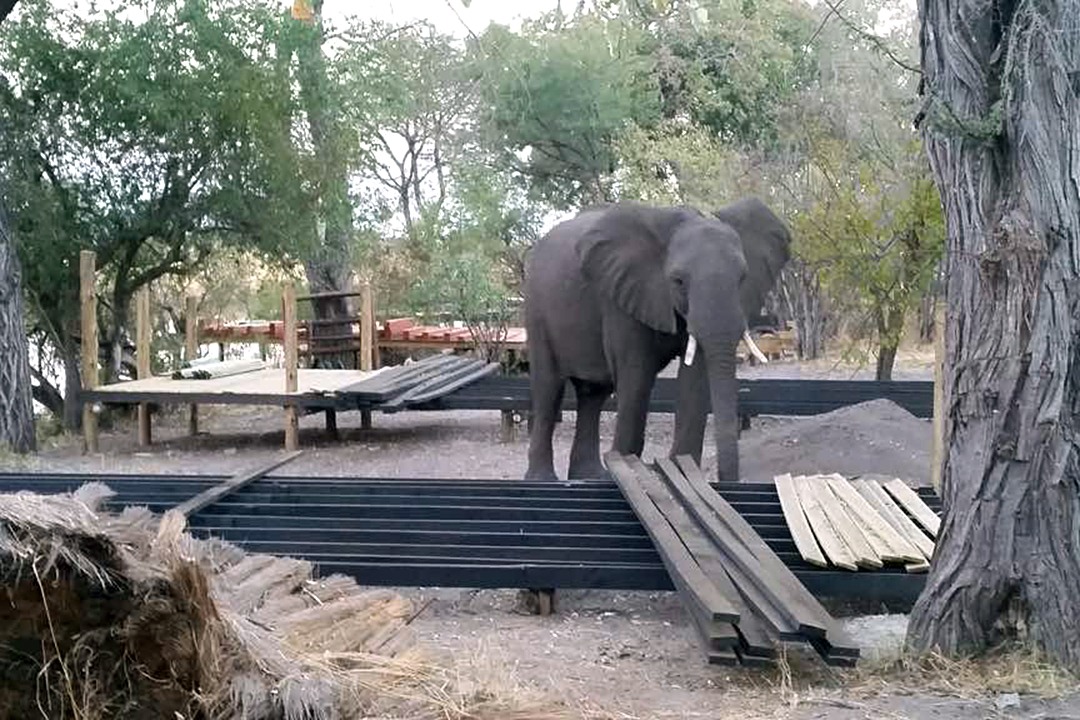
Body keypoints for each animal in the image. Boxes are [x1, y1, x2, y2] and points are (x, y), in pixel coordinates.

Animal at [518, 194, 790, 481]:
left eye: (743, 278)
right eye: (678, 281)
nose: (725, 480)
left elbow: (696, 377)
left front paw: (681, 469)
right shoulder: (621, 295)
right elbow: (637, 375)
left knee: (593, 394)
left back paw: (590, 476)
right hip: (536, 307)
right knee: (549, 389)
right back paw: (542, 480)